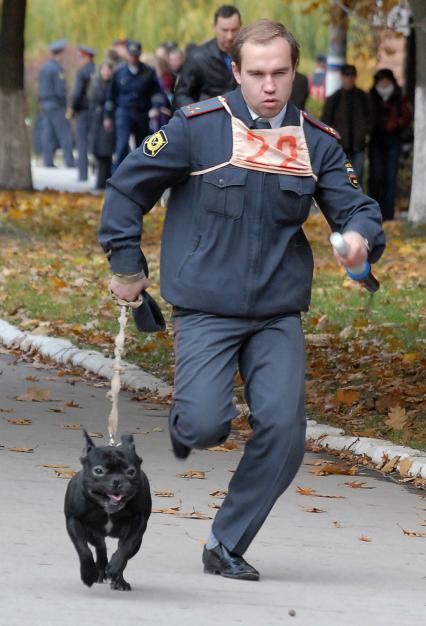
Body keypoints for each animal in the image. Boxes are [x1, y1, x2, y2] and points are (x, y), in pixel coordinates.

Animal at [65, 428, 151, 588]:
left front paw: (115, 567)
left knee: (121, 551)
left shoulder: (138, 523)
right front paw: (88, 574)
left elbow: (126, 548)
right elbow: (83, 550)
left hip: (137, 543)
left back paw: (117, 578)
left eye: (131, 472)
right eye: (98, 471)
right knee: (100, 546)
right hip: (92, 533)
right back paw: (100, 570)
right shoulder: (74, 521)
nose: (116, 480)